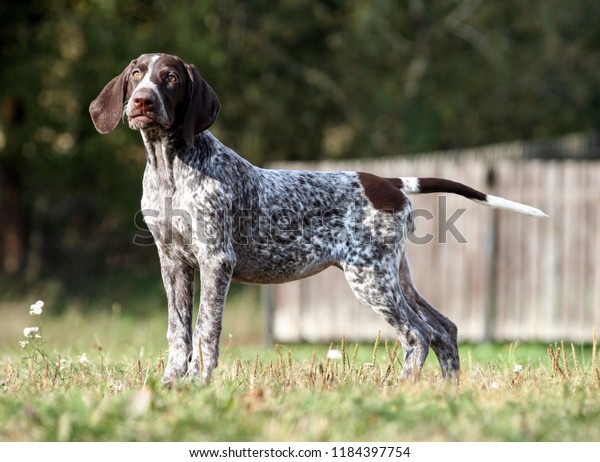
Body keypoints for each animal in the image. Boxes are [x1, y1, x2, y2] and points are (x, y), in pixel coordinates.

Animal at [90, 53, 548, 386]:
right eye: (136, 74)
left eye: (170, 78)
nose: (142, 101)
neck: (169, 168)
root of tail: (387, 181)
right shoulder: (173, 263)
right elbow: (177, 330)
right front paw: (171, 383)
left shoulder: (216, 260)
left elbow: (206, 328)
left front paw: (200, 385)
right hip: (395, 275)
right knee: (443, 329)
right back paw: (446, 391)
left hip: (370, 277)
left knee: (416, 334)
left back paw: (399, 388)